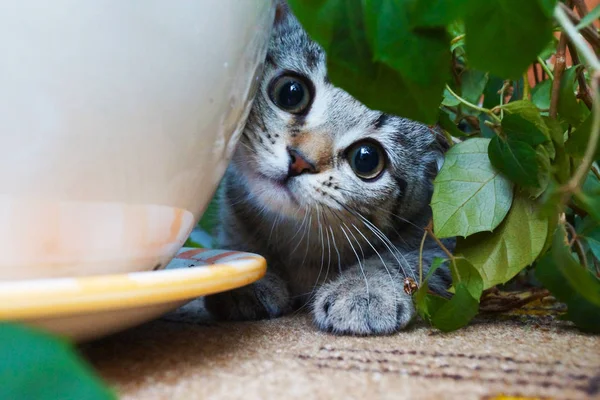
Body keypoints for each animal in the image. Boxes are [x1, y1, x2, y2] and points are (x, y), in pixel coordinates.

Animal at [204, 3, 452, 336]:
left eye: (366, 159)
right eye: (291, 92)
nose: (299, 160)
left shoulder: (442, 240)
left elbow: (408, 258)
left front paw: (365, 288)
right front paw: (245, 279)